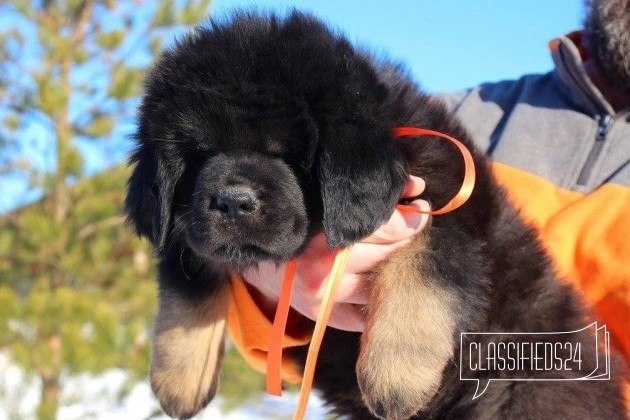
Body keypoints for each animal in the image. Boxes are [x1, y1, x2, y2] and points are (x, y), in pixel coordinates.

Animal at [124, 10, 628, 420]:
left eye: (289, 155)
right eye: (198, 155)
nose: (232, 200)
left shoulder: (442, 216)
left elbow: (421, 275)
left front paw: (395, 379)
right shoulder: (185, 229)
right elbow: (186, 292)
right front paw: (179, 382)